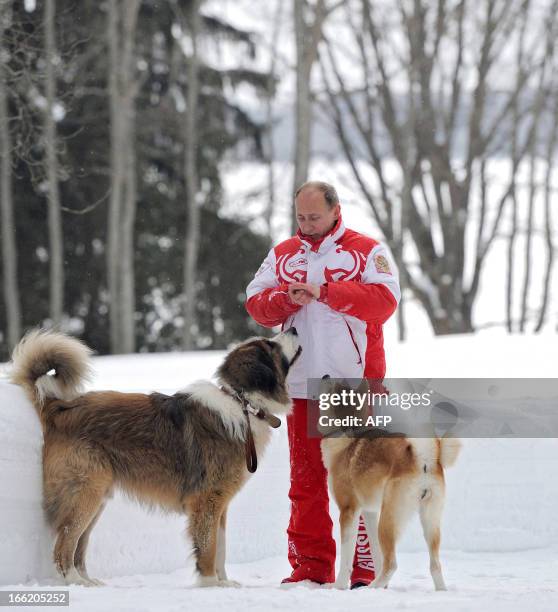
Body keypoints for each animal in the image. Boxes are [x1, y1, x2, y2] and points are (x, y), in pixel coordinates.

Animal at [9, 330, 302, 588]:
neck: (243, 404)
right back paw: (75, 581)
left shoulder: (220, 505)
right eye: (270, 345)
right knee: (64, 544)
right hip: (86, 492)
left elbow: (221, 548)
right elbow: (208, 547)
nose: (294, 328)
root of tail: (59, 406)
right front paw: (210, 584)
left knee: (78, 544)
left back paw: (88, 580)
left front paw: (223, 581)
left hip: (96, 496)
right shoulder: (207, 501)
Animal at [322, 380, 462, 592]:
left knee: (392, 564)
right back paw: (440, 591)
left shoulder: (349, 511)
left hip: (388, 521)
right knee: (435, 565)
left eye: (332, 388)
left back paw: (371, 588)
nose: (325, 375)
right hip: (429, 522)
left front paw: (338, 586)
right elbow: (375, 553)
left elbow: (346, 558)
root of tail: (424, 458)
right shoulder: (370, 513)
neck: (351, 429)